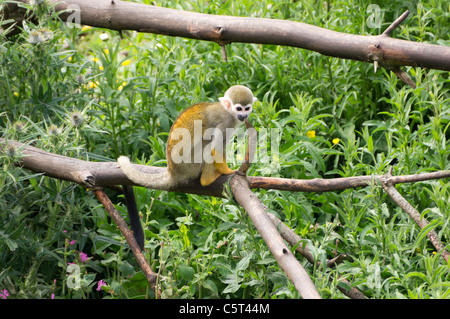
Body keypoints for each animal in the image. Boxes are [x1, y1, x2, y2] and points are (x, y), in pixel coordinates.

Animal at [118, 85, 256, 190]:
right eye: (239, 108)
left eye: (247, 108)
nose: (244, 115)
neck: (229, 112)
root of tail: (173, 172)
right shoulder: (226, 122)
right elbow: (215, 148)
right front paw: (227, 171)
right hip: (189, 165)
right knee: (207, 143)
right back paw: (207, 179)